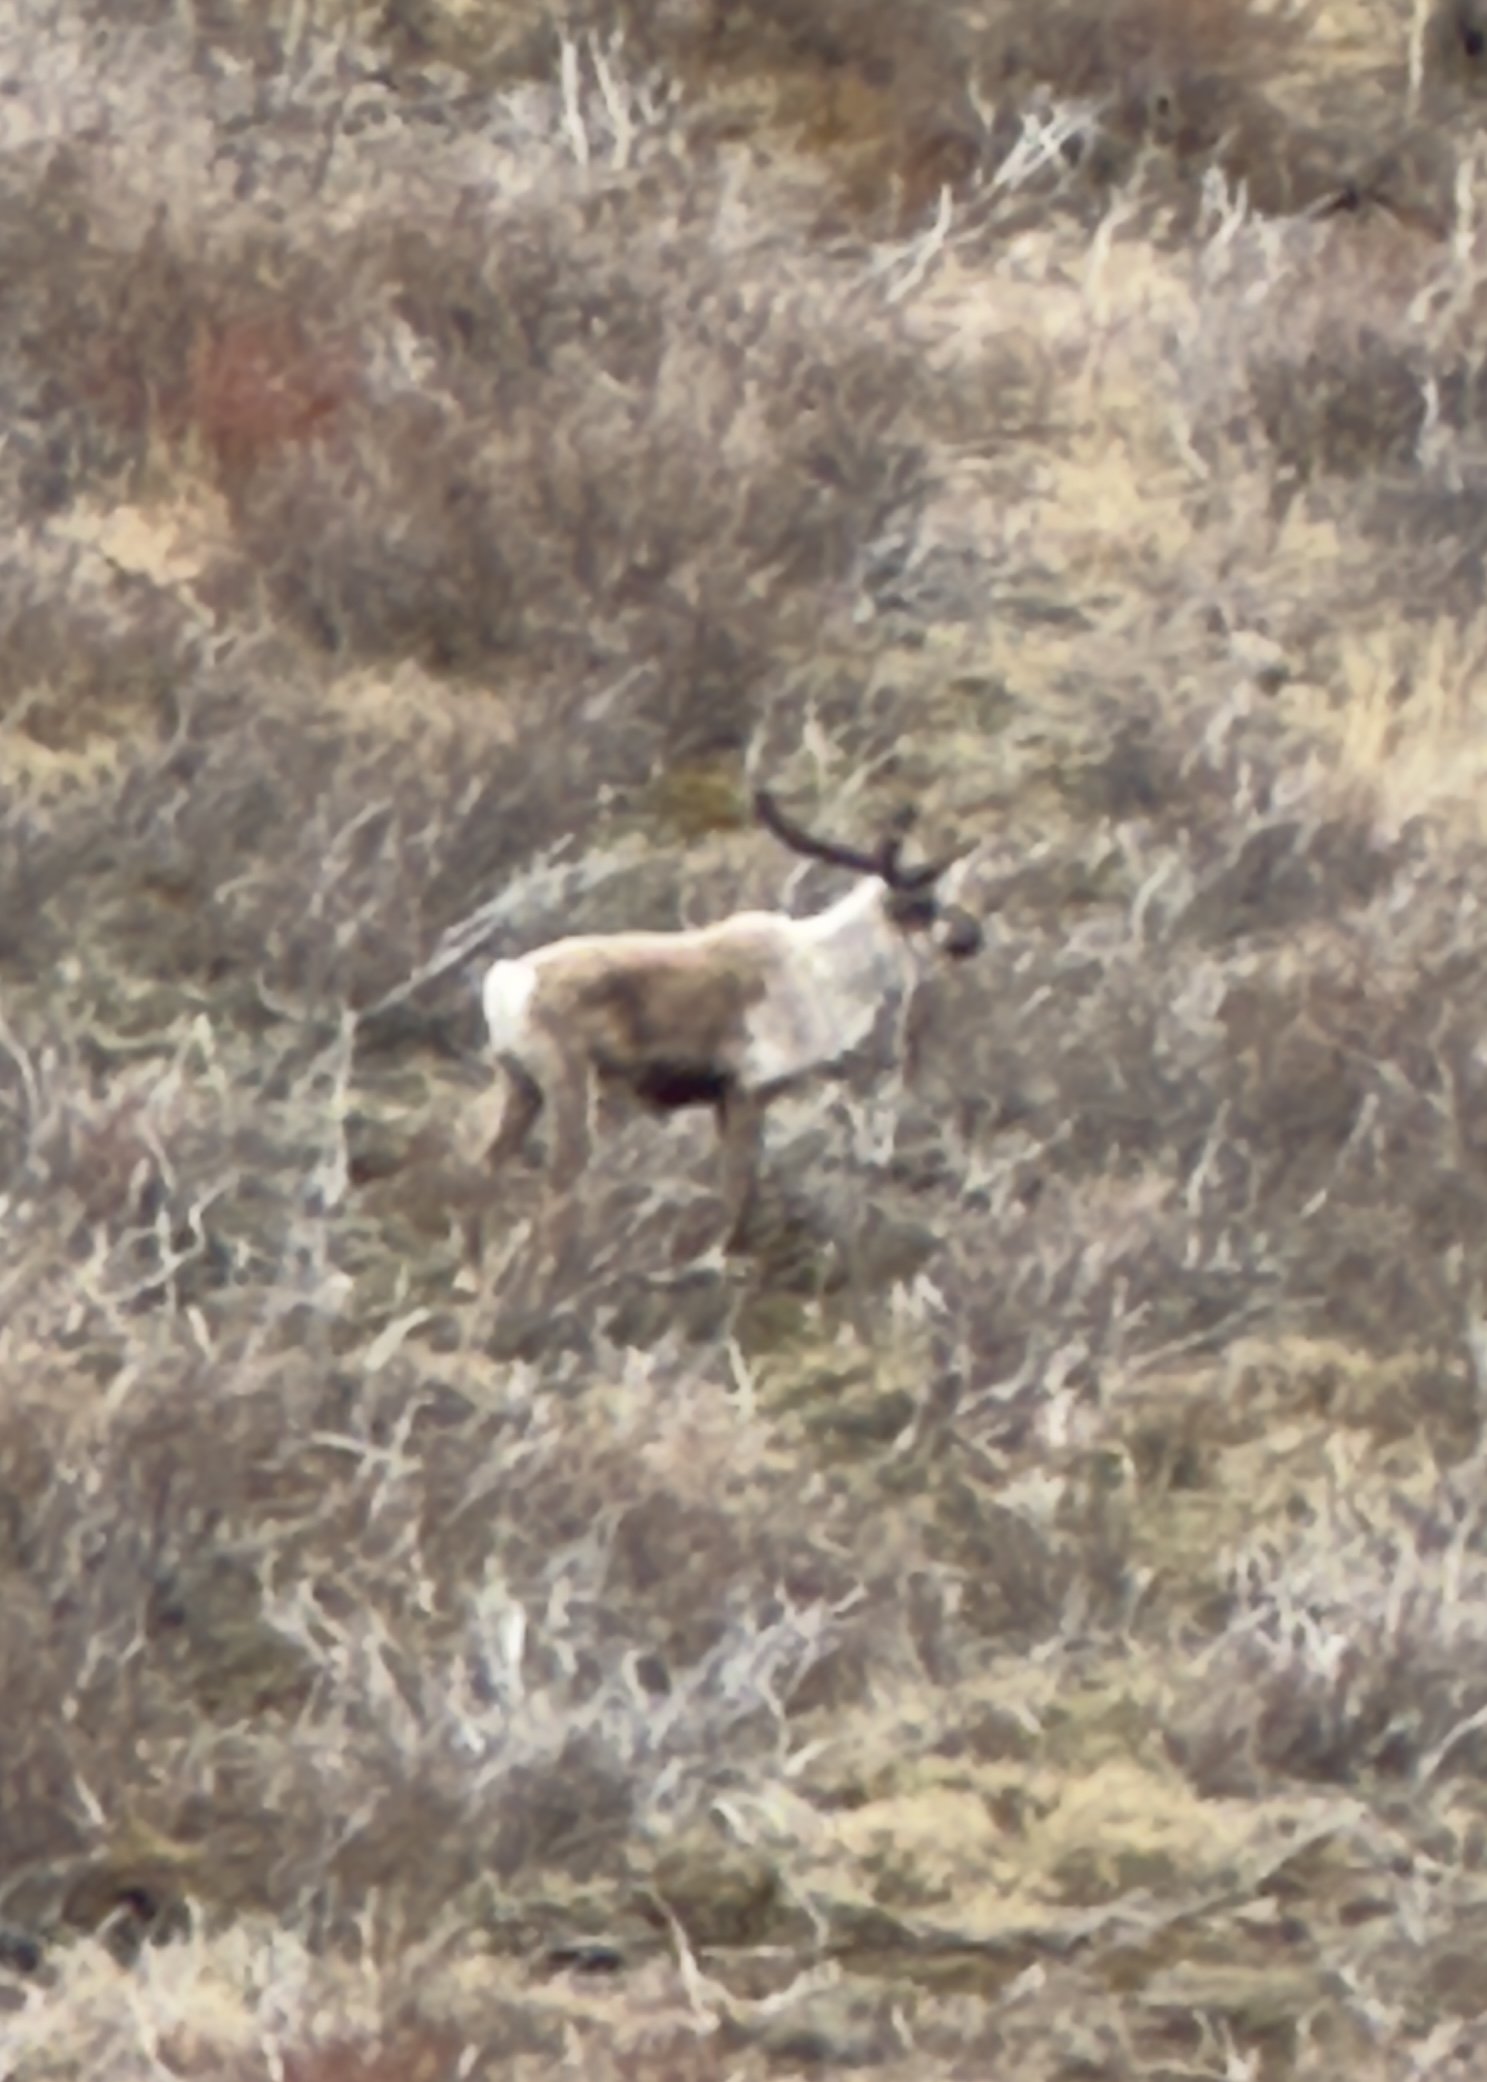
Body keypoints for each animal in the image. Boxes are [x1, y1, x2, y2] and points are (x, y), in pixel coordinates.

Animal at [475, 787, 983, 1257]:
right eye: (923, 904)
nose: (973, 936)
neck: (822, 974)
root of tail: (506, 979)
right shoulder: (746, 1090)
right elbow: (740, 1192)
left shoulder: (724, 1100)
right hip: (569, 1084)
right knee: (557, 1186)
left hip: (520, 1085)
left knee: (489, 1168)